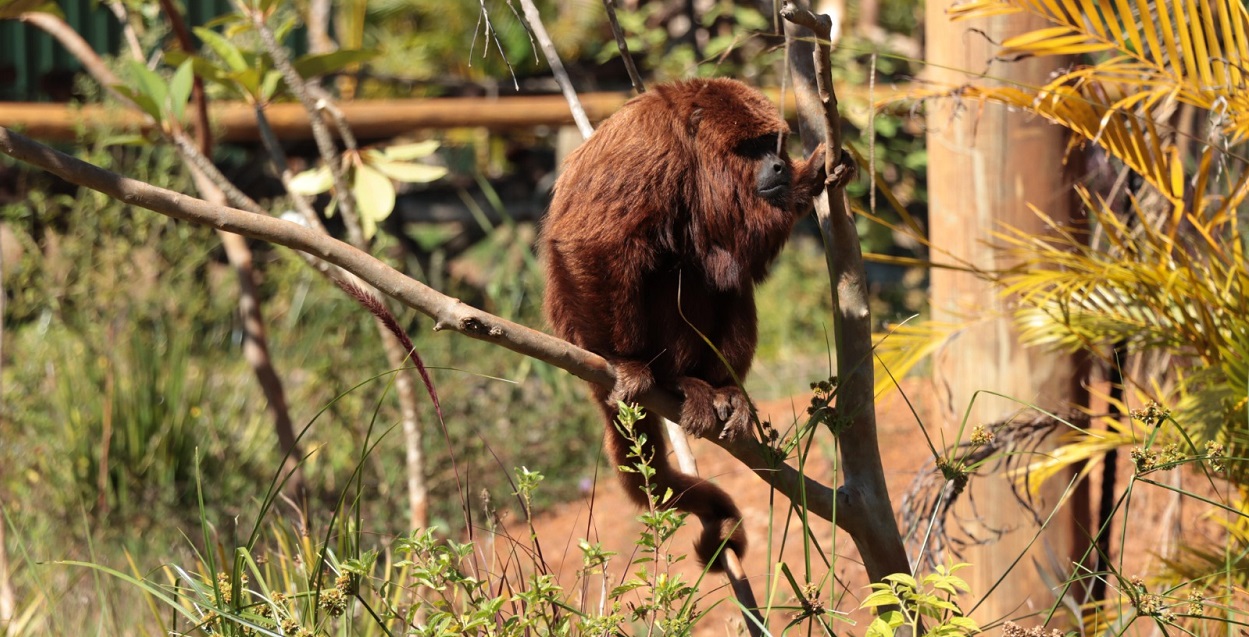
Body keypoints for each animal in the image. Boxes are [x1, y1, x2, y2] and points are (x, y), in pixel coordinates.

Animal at [539, 77, 844, 569]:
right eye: (751, 147)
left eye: (771, 144)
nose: (780, 164)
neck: (692, 149)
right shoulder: (649, 152)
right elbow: (591, 242)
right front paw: (621, 360)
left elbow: (741, 254)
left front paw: (808, 178)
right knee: (671, 267)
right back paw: (674, 379)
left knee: (727, 281)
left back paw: (723, 389)